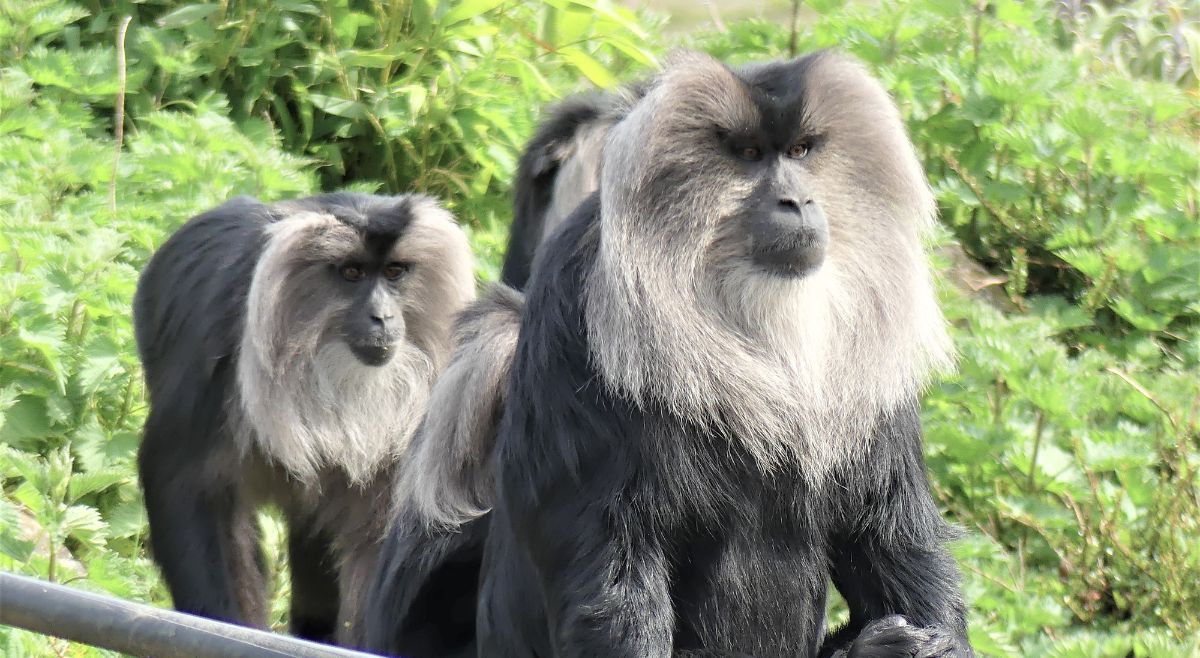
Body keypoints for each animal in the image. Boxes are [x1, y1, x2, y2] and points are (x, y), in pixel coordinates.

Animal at [367, 50, 974, 658]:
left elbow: (893, 534)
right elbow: (612, 566)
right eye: (748, 155)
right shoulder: (572, 317)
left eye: (801, 150)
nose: (798, 201)